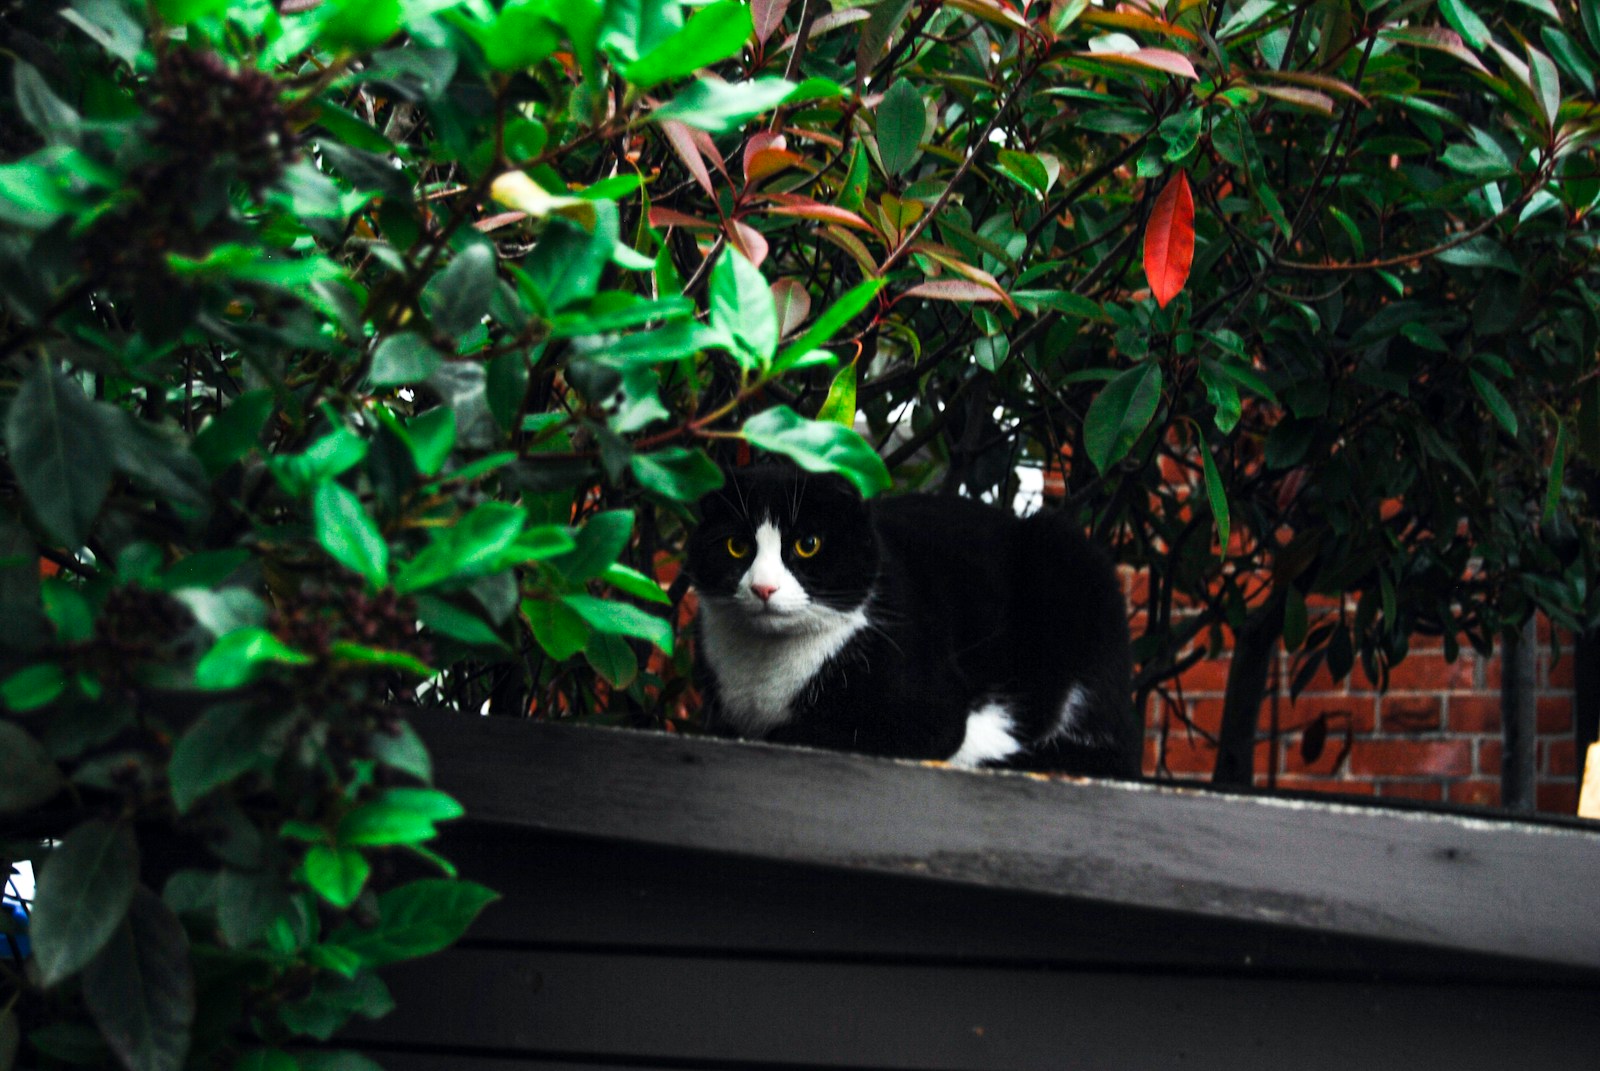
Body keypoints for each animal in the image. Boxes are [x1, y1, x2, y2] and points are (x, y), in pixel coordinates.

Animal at [688, 464, 1139, 771]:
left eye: (808, 544)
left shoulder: (929, 710)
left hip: (1072, 559)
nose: (763, 588)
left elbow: (814, 731)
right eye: (735, 546)